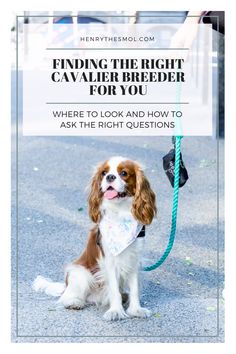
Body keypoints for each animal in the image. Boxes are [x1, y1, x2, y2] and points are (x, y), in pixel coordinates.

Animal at [31, 156, 157, 320]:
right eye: (104, 173)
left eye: (124, 173)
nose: (110, 177)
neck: (120, 214)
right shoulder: (110, 262)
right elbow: (114, 289)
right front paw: (116, 311)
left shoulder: (133, 260)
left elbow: (134, 289)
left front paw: (136, 310)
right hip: (80, 272)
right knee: (68, 296)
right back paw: (74, 302)